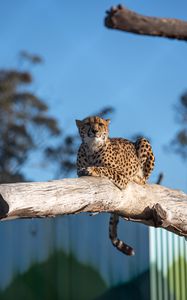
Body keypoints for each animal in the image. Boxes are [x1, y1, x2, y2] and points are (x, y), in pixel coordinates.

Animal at [75, 116, 154, 254]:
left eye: (100, 124)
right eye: (88, 124)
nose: (95, 131)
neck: (91, 147)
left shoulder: (122, 176)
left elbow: (105, 169)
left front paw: (91, 169)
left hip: (142, 140)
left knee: (144, 180)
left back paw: (138, 178)